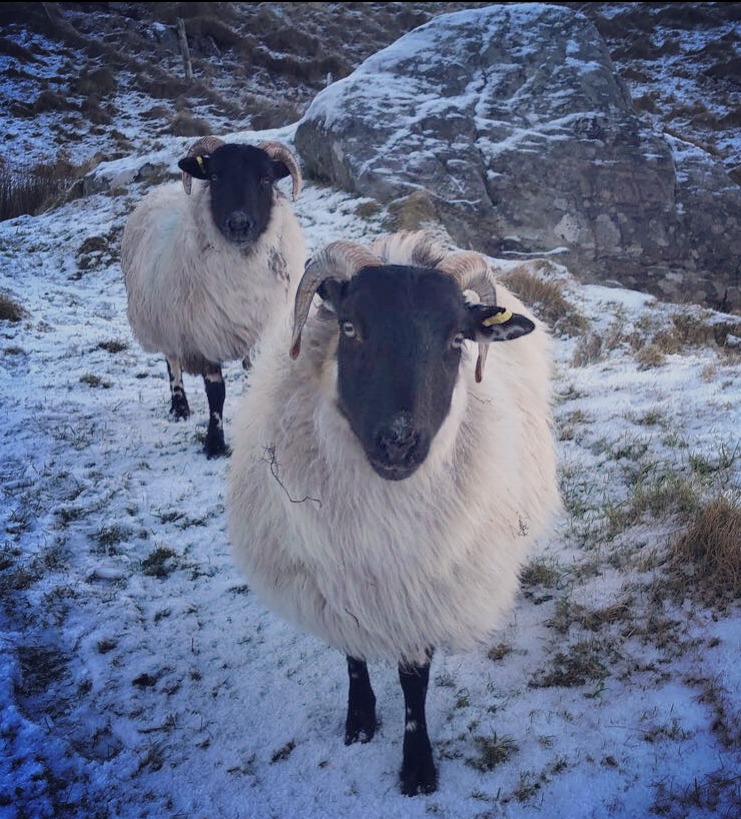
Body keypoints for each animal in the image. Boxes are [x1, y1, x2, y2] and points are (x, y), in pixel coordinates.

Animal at [120, 137, 304, 458]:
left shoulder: (259, 332)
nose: (239, 224)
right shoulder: (203, 335)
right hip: (166, 321)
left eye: (266, 178)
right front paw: (214, 443)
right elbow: (215, 392)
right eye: (216, 176)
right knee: (172, 361)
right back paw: (179, 407)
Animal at [225, 229, 560, 796]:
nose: (399, 443)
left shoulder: (421, 587)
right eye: (350, 327)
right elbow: (352, 654)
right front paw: (359, 720)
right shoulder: (336, 582)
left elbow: (413, 681)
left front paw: (417, 766)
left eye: (457, 340)